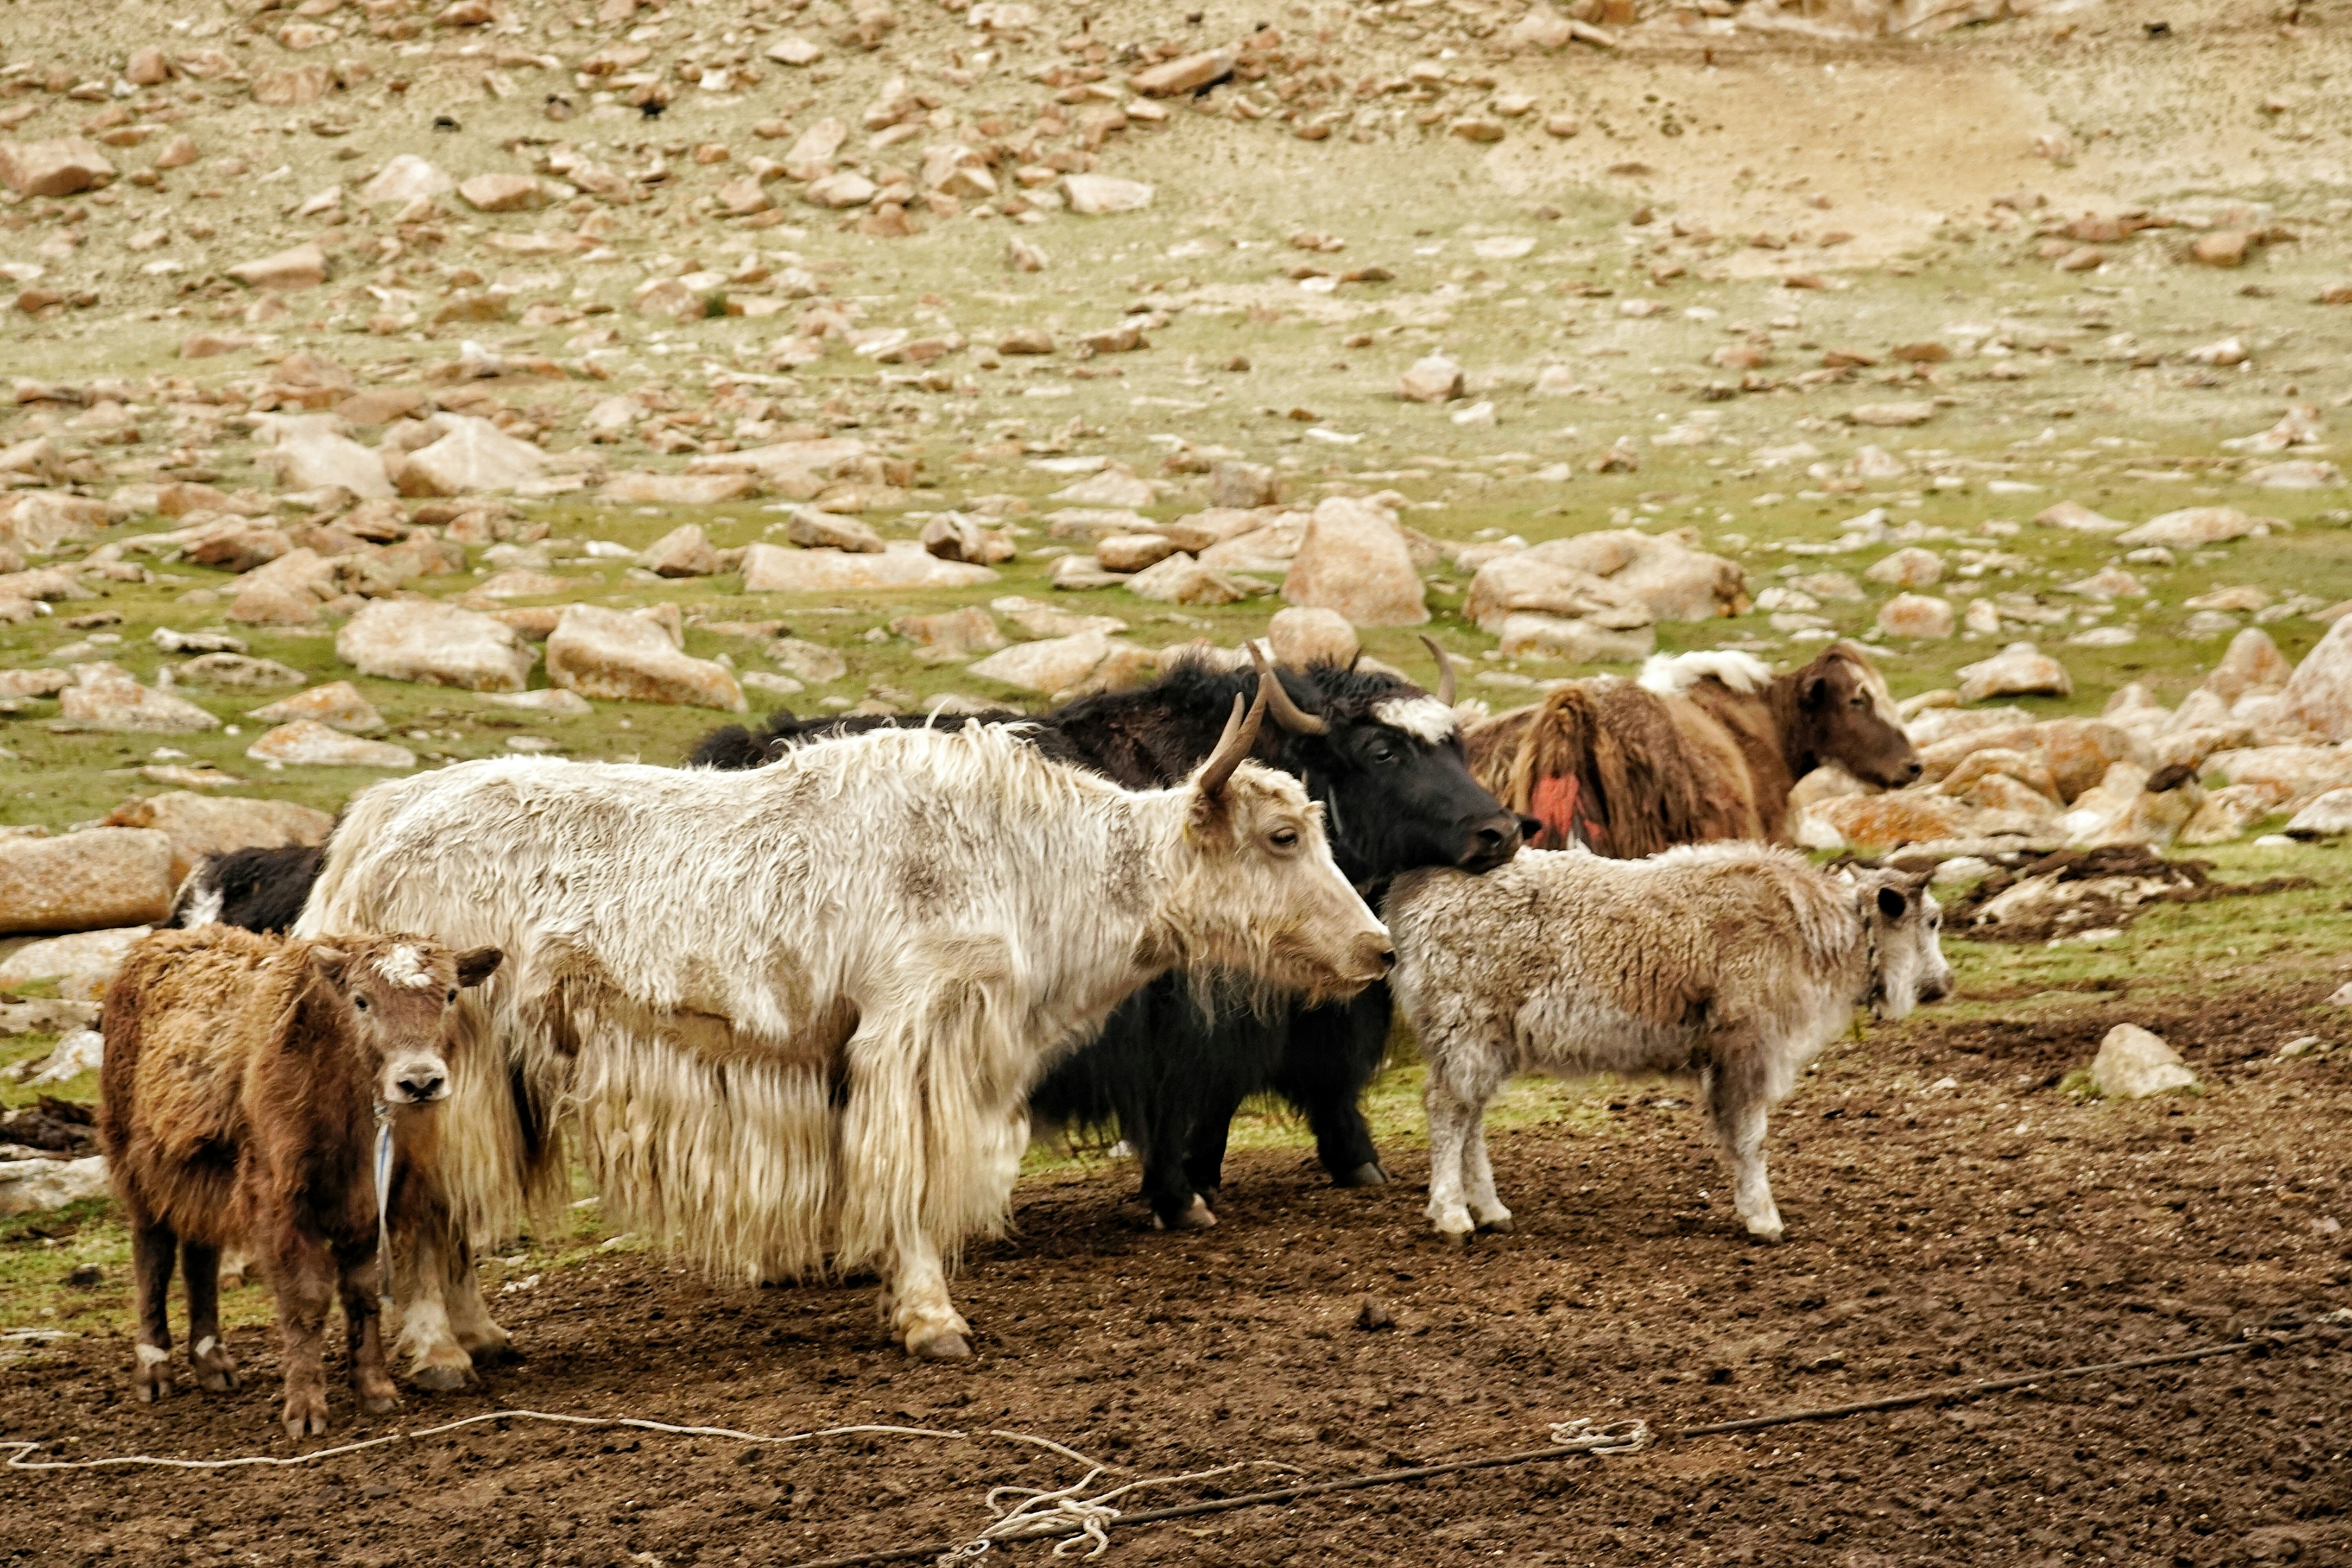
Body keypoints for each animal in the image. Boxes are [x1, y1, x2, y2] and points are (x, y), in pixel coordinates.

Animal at [1386, 843, 1952, 1245]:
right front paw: (1764, 1219)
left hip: (1486, 1039)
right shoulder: (1747, 1050)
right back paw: (1452, 1215)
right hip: (1467, 1025)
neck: (1812, 932)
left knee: (1471, 1118)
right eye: (1931, 920)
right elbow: (1751, 1139)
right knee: (1447, 1110)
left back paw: (1491, 1211)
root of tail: (1414, 893)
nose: (1944, 983)